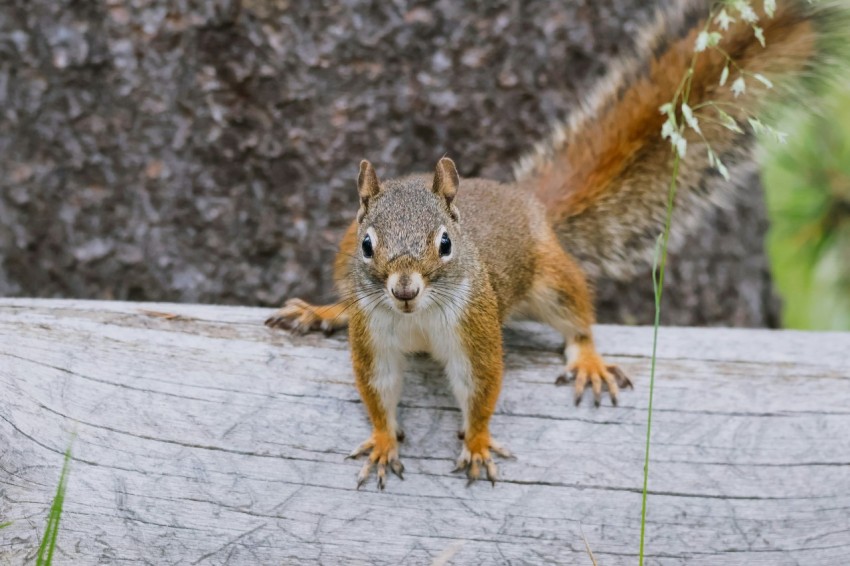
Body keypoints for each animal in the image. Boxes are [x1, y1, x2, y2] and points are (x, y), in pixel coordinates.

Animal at [262, 0, 844, 490]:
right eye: (368, 245)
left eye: (446, 243)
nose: (404, 290)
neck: (416, 320)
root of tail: (524, 202)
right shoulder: (374, 333)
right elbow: (378, 390)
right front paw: (384, 442)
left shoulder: (475, 327)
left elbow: (480, 387)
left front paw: (477, 444)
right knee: (345, 302)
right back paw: (322, 311)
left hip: (551, 280)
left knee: (577, 317)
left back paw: (588, 360)